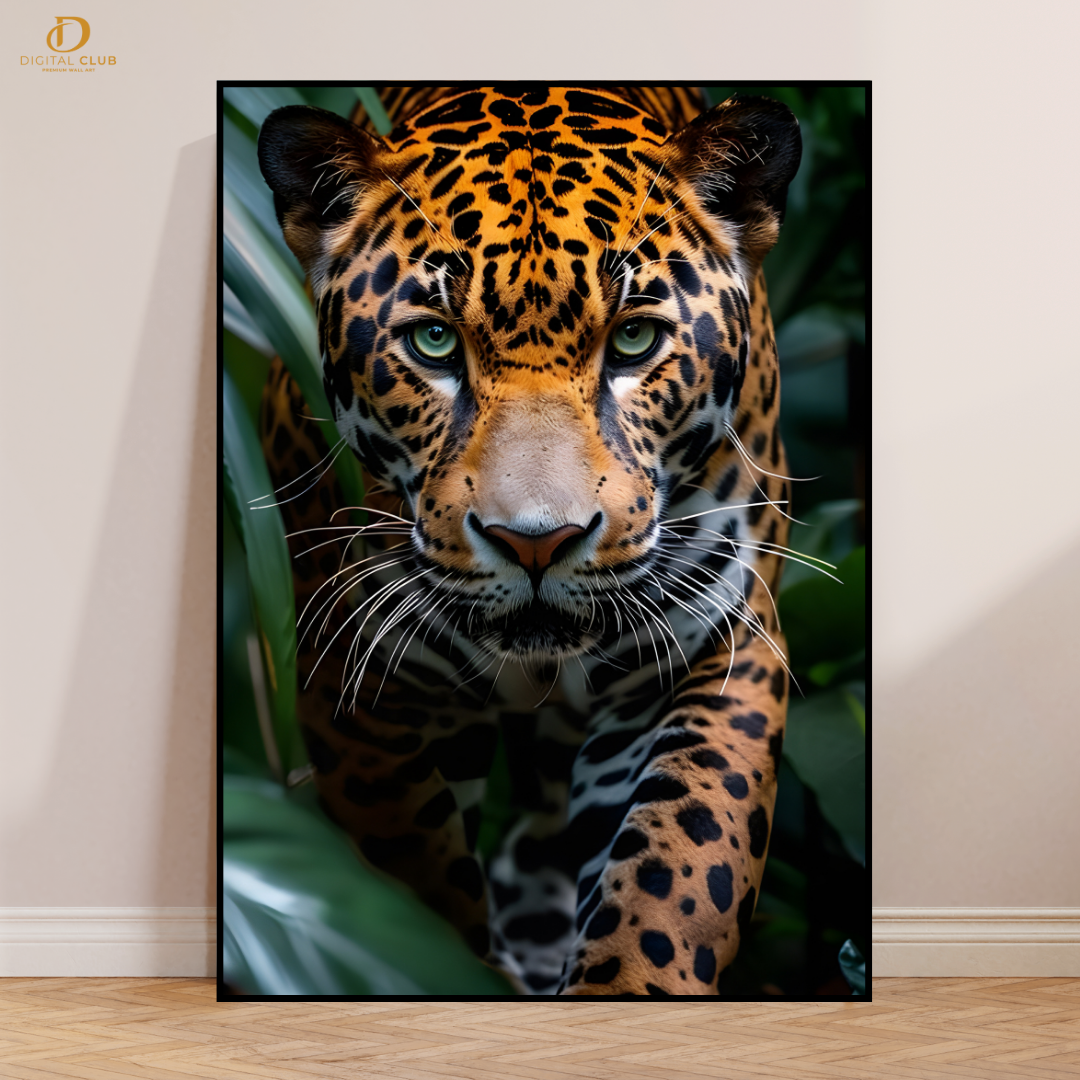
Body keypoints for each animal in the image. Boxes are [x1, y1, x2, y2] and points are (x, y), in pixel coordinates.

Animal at [256, 85, 801, 996]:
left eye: (634, 339)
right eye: (434, 340)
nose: (537, 543)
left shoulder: (715, 648)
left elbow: (675, 875)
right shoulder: (359, 686)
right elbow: (414, 890)